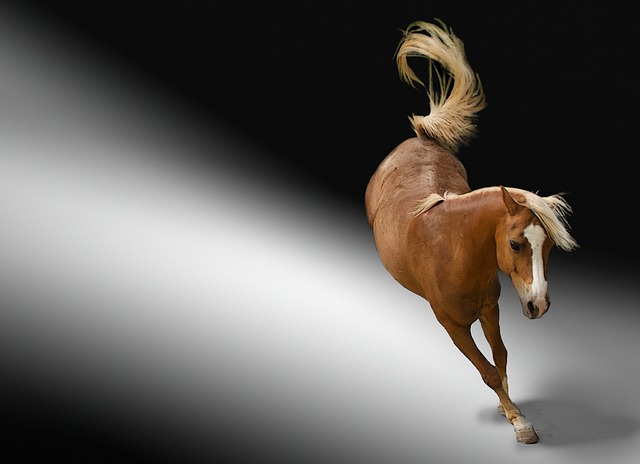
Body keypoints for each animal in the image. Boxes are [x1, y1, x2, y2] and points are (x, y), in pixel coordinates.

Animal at [365, 20, 578, 444]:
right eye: (515, 244)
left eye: (548, 247)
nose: (539, 305)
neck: (453, 250)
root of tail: (421, 136)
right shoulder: (453, 324)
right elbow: (487, 370)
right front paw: (520, 423)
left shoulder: (490, 308)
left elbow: (501, 356)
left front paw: (508, 408)